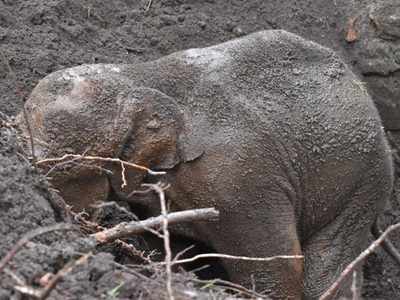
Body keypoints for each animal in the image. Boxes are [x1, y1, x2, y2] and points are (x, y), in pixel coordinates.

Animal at [18, 31, 394, 300]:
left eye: (64, 170)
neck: (139, 77)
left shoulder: (239, 179)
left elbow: (276, 265)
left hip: (363, 180)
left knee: (324, 267)